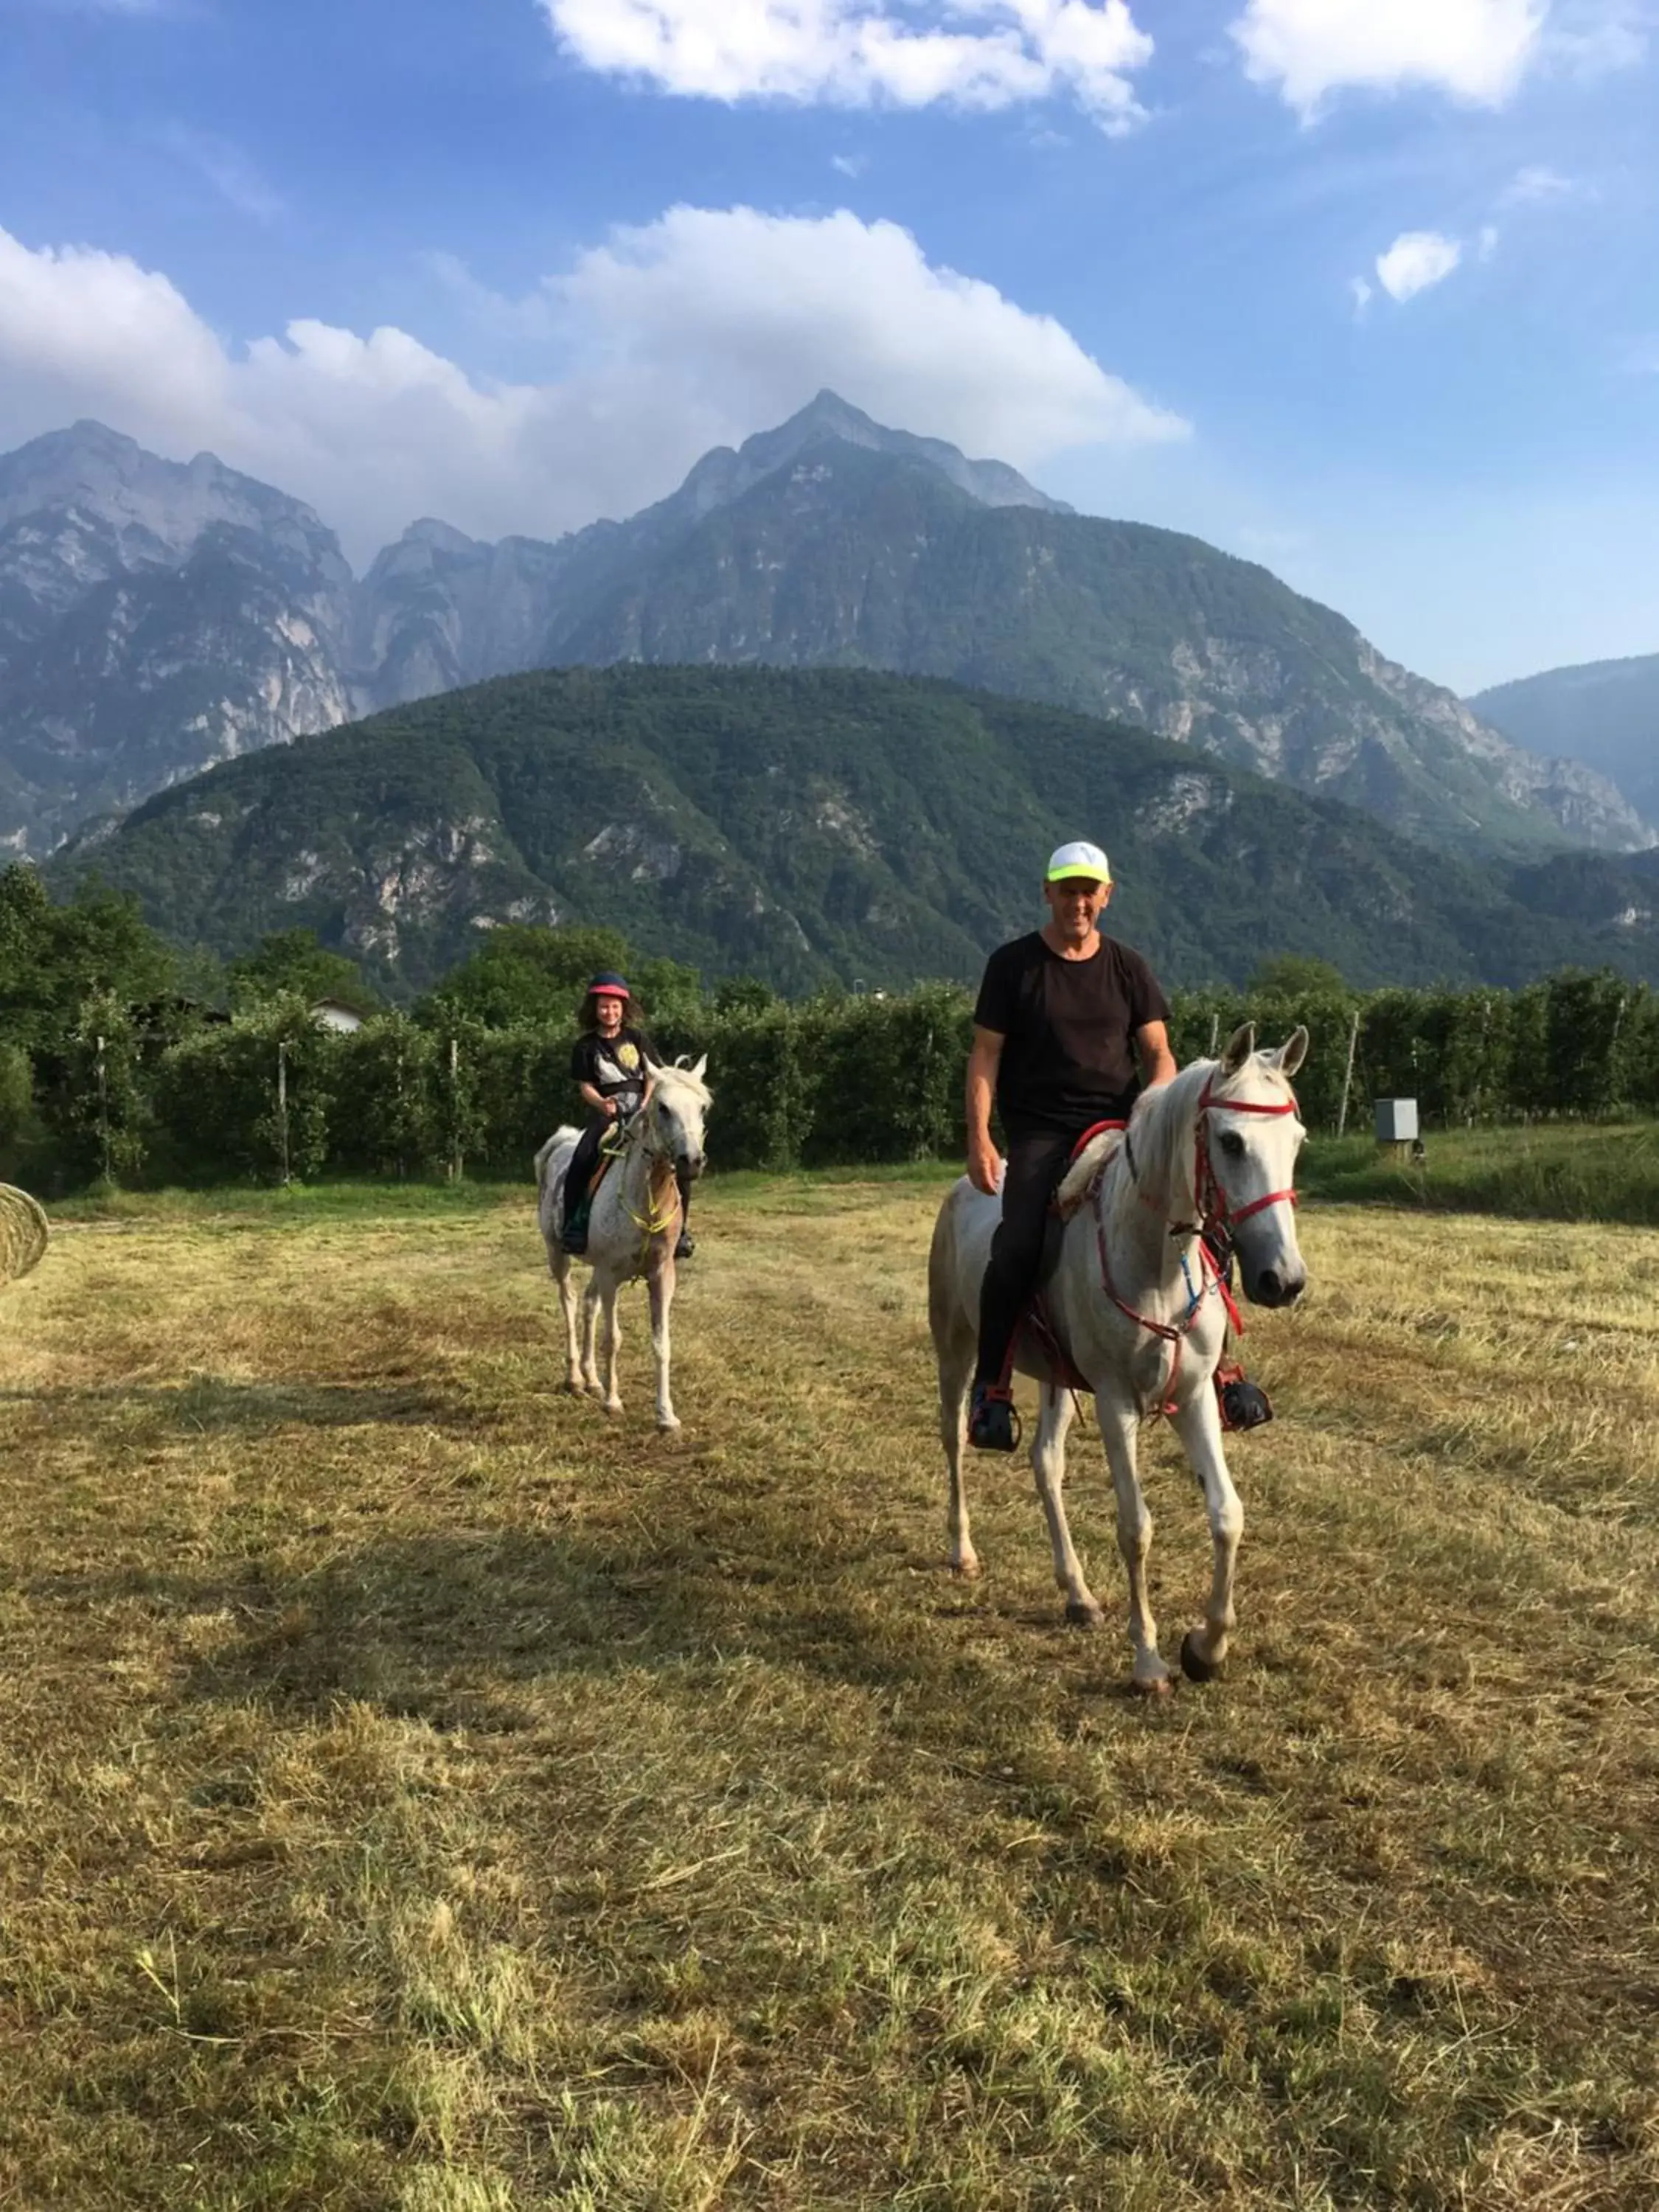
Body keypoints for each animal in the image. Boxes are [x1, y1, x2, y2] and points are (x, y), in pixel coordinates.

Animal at [540, 1057, 708, 1433]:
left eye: (703, 1107)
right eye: (663, 1107)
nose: (691, 1160)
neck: (646, 1199)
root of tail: (561, 1141)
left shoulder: (661, 1275)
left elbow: (661, 1343)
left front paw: (666, 1415)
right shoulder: (611, 1275)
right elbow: (612, 1339)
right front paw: (613, 1402)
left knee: (588, 1305)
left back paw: (591, 1380)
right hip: (558, 1254)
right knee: (570, 1303)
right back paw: (575, 1379)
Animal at [929, 1022, 1310, 1690]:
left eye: (1297, 1141)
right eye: (1231, 1141)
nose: (1283, 1281)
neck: (1155, 1261)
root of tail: (962, 1190)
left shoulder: (1193, 1398)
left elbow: (1227, 1515)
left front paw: (1206, 1648)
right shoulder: (1115, 1403)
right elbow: (1136, 1529)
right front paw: (1149, 1661)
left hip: (1056, 1378)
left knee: (1046, 1462)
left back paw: (1077, 1593)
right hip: (956, 1347)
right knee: (954, 1439)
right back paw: (963, 1551)